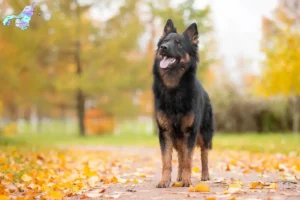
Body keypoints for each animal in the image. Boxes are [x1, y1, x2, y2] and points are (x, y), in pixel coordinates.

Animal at [152, 18, 213, 188]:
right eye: (165, 41)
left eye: (179, 44)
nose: (163, 48)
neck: (174, 88)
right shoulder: (165, 132)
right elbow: (167, 161)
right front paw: (165, 181)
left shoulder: (189, 132)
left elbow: (188, 159)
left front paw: (187, 180)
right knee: (180, 154)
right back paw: (178, 177)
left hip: (203, 134)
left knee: (204, 154)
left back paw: (204, 175)